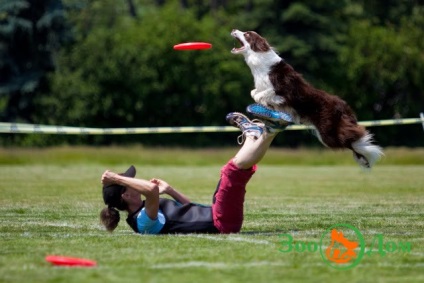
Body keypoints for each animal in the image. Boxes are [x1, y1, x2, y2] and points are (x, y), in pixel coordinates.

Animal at [232, 30, 384, 170]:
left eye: (247, 34)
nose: (234, 30)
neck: (259, 60)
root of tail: (342, 104)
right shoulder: (262, 87)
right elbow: (254, 92)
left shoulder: (283, 91)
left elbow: (261, 94)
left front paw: (265, 104)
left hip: (327, 132)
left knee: (352, 138)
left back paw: (367, 152)